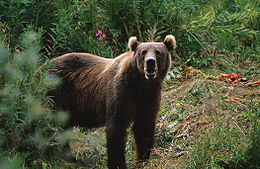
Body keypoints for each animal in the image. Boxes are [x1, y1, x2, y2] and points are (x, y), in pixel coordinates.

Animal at [43, 35, 176, 168]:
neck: (141, 84)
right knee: (53, 125)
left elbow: (144, 126)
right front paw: (118, 163)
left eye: (158, 52)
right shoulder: (121, 91)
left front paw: (142, 160)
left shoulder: (149, 98)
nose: (150, 62)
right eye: (143, 52)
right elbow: (116, 127)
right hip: (56, 92)